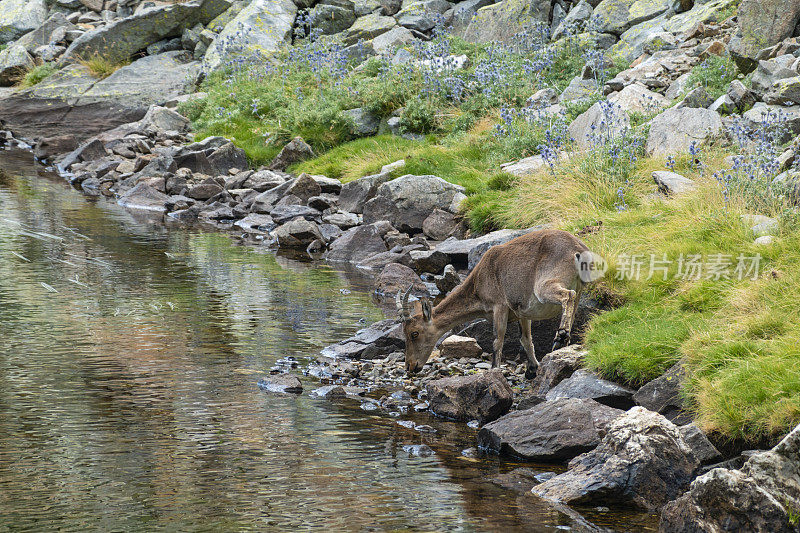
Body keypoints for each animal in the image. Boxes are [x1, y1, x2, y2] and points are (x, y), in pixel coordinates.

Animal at [396, 229, 596, 378]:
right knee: (573, 303)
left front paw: (494, 370)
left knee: (567, 295)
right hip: (580, 288)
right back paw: (564, 340)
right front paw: (532, 369)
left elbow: (497, 340)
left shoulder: (500, 306)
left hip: (545, 284)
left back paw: (561, 335)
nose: (410, 366)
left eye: (414, 333)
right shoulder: (522, 312)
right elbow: (526, 339)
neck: (479, 282)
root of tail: (578, 250)